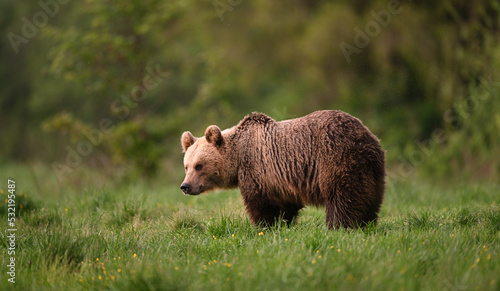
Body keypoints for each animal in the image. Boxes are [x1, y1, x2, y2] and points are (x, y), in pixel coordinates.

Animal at [181, 110, 386, 229]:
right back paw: (367, 224)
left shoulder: (257, 169)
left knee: (341, 196)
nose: (185, 186)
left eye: (199, 165)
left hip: (335, 157)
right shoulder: (281, 178)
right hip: (372, 171)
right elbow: (287, 205)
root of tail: (365, 138)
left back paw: (339, 226)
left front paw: (264, 227)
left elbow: (261, 203)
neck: (238, 155)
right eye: (186, 166)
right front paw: (284, 224)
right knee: (369, 198)